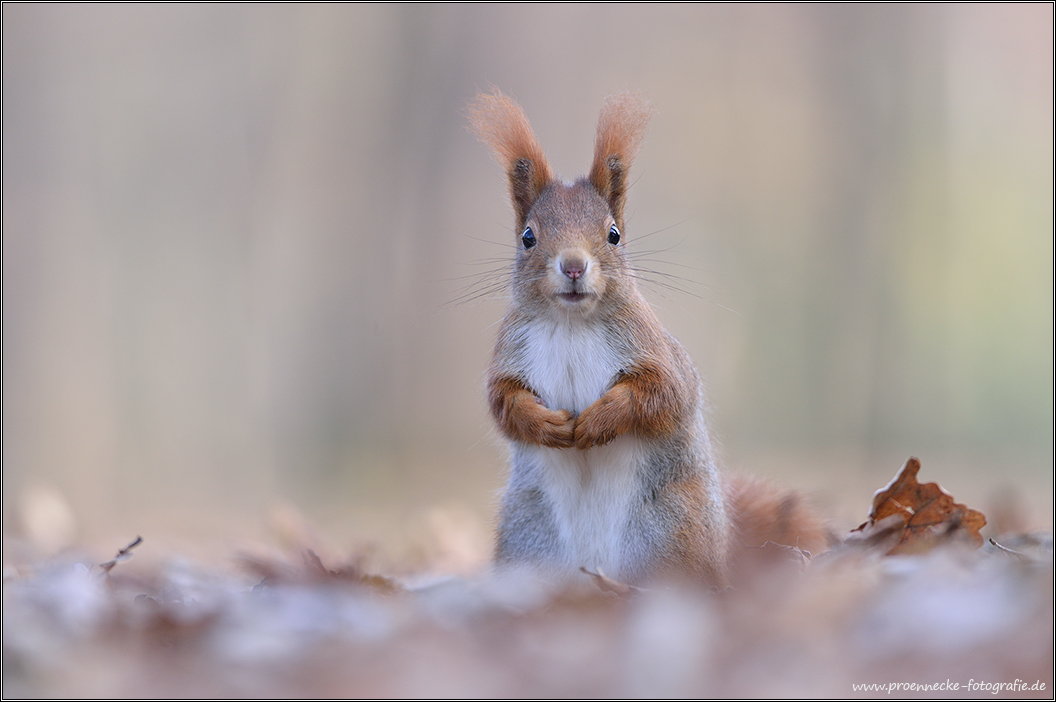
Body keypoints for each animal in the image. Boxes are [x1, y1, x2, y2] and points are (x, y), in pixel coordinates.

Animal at [468, 90, 823, 586]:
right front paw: (545, 423)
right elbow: (503, 403)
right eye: (527, 237)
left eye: (614, 234)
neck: (572, 324)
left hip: (671, 528)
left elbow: (662, 395)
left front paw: (600, 419)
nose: (573, 266)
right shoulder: (509, 354)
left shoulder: (654, 350)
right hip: (528, 537)